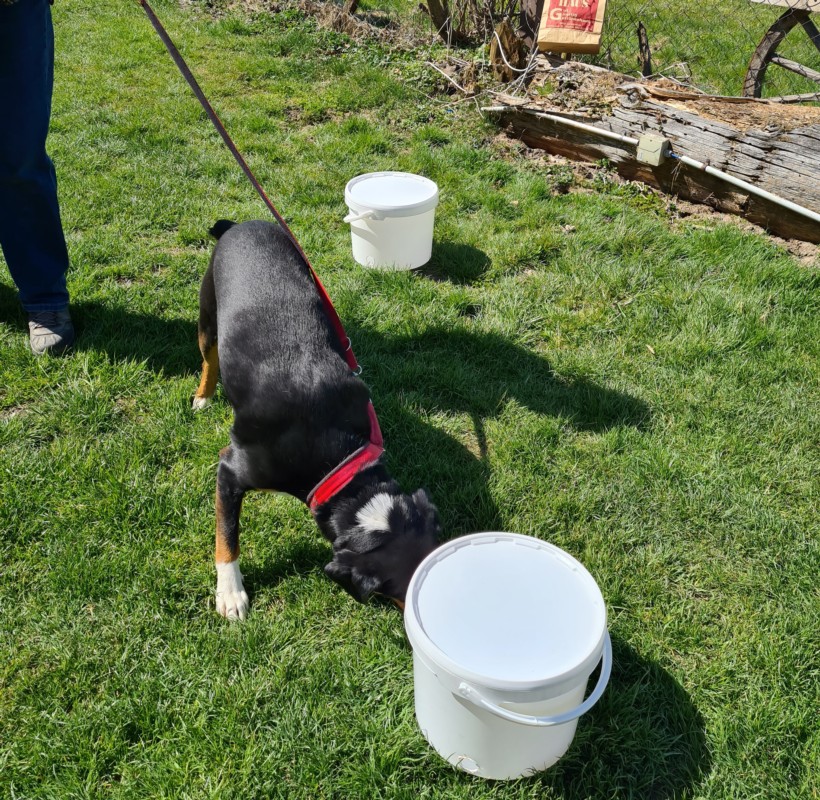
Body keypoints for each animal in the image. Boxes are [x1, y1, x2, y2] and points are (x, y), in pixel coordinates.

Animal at [193, 219, 441, 620]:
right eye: (410, 591)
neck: (335, 456)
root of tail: (243, 223)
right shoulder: (230, 471)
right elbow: (226, 536)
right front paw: (230, 593)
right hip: (207, 311)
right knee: (208, 358)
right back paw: (203, 395)